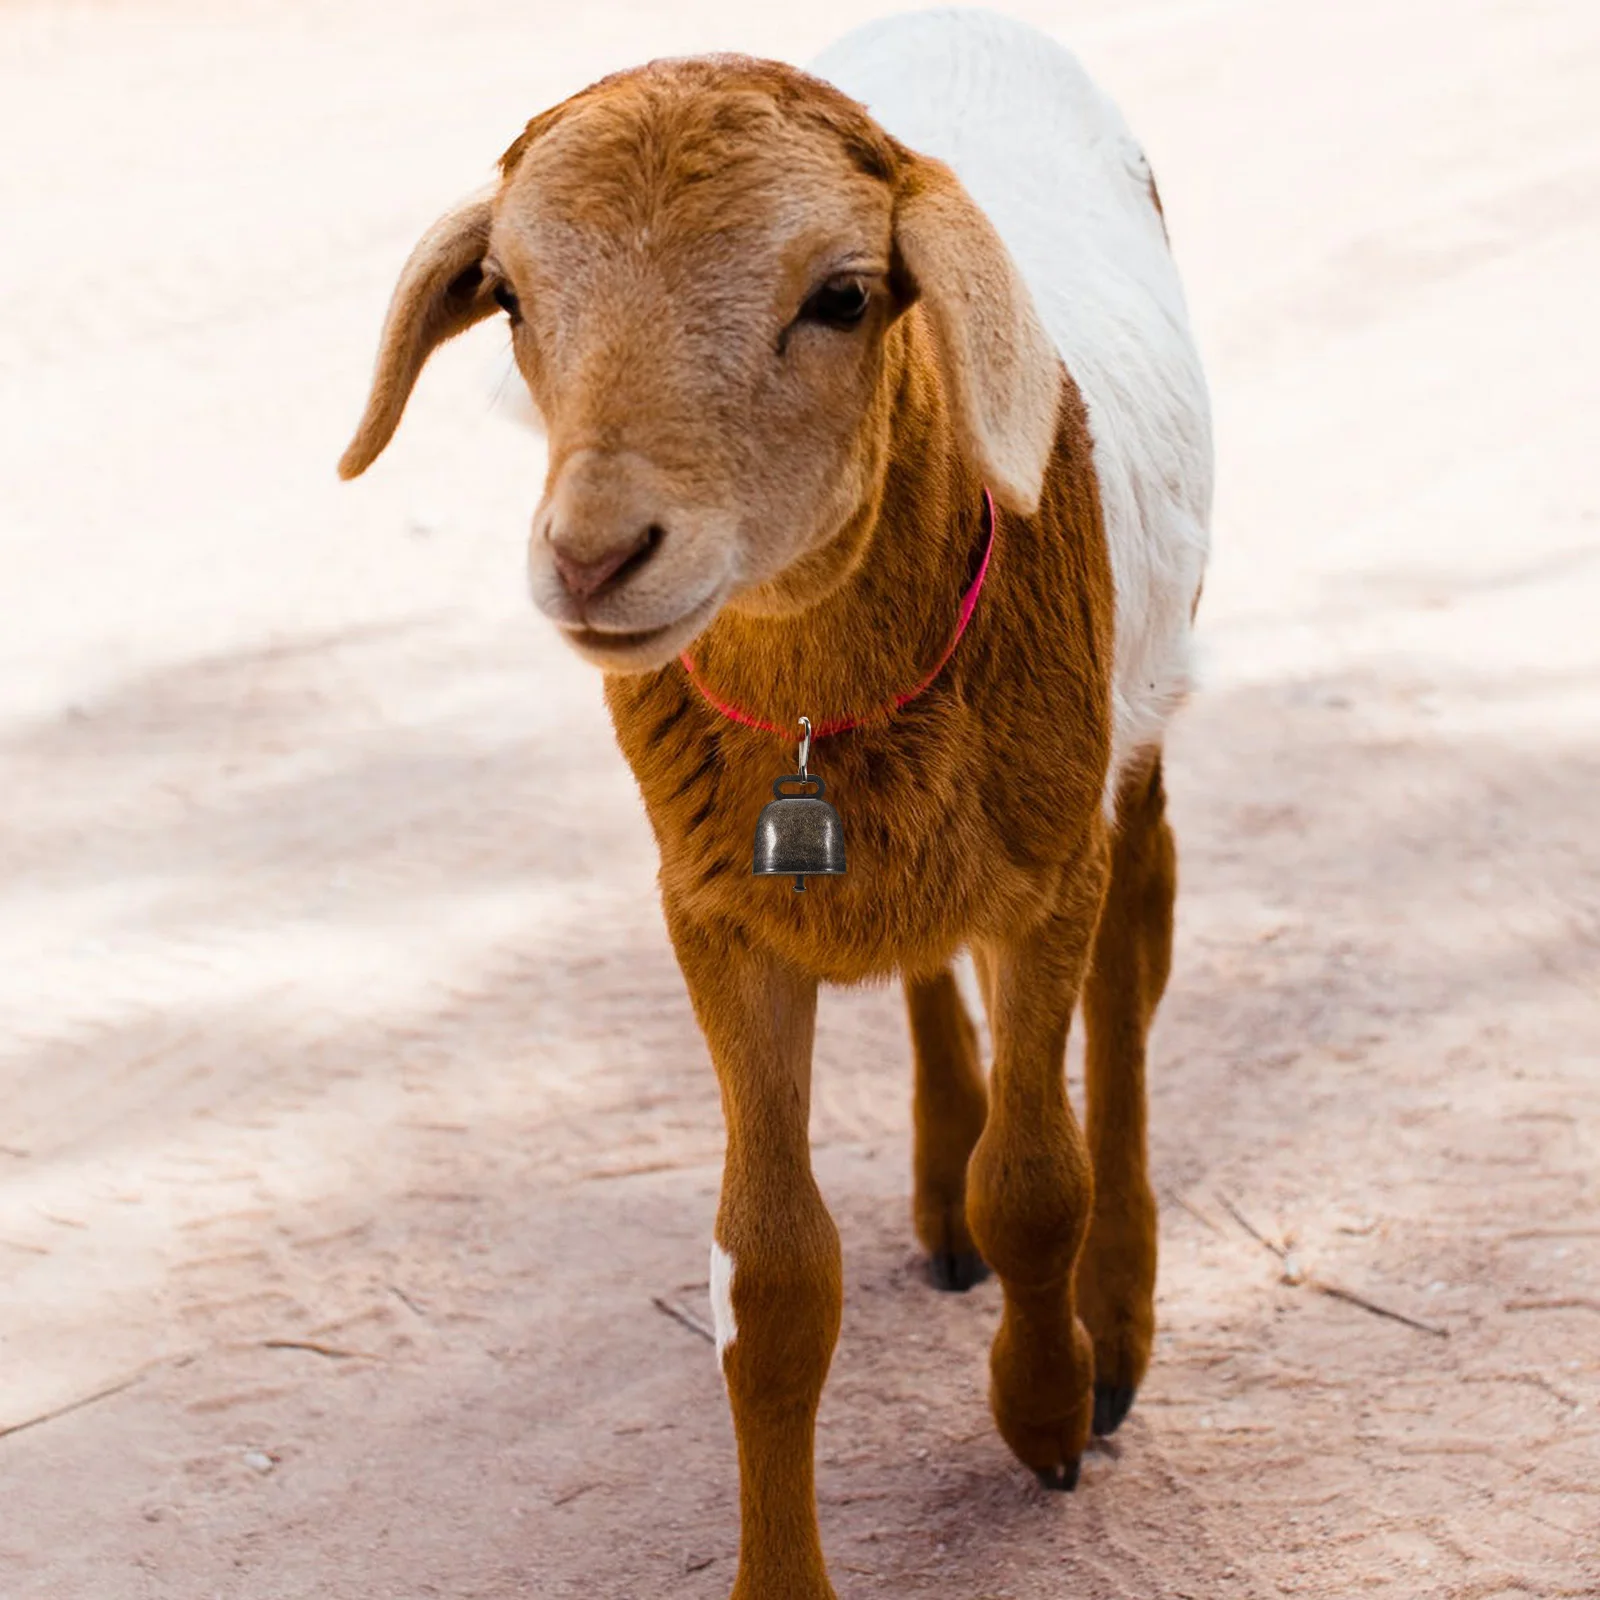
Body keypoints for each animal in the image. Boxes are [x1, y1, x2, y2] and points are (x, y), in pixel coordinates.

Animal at [340, 15, 1209, 1600]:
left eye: (845, 295)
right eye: (509, 295)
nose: (595, 555)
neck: (823, 702)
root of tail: (961, 22)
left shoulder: (1045, 867)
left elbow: (1034, 1180)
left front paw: (1046, 1411)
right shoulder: (713, 906)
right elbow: (772, 1278)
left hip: (1134, 724)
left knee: (1136, 959)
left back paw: (1114, 1322)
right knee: (932, 965)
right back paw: (936, 1189)